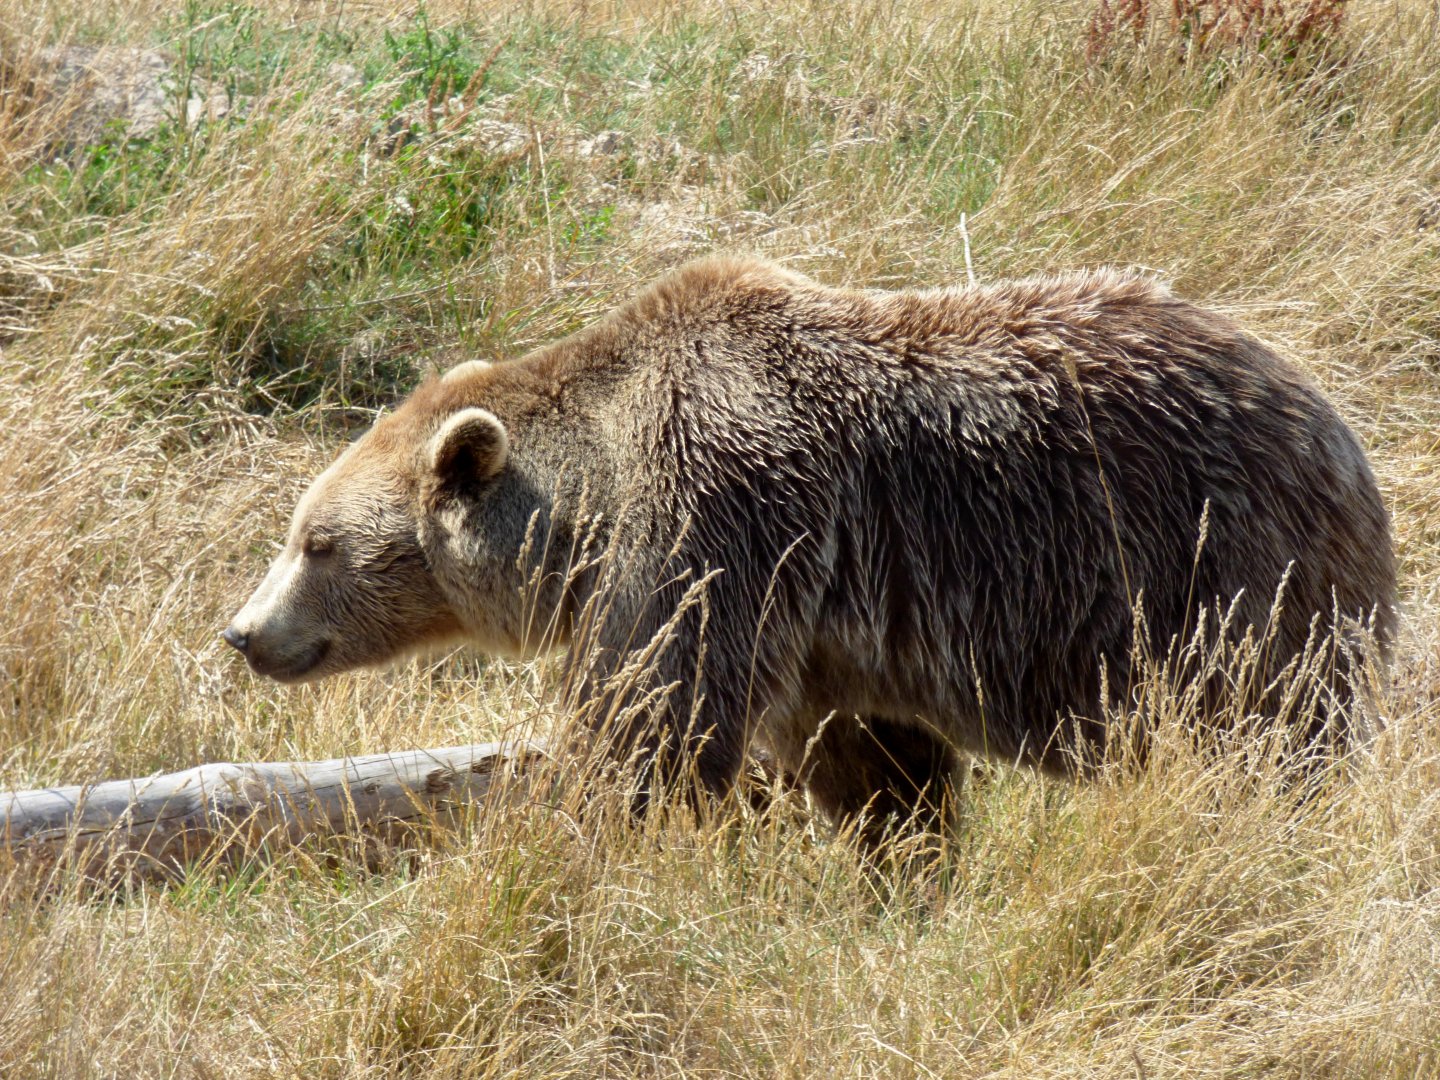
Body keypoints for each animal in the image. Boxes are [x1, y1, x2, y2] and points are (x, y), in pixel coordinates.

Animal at [224, 256, 1396, 848]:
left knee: (1273, 734)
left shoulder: (715, 524)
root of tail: (1337, 427)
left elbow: (654, 726)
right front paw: (900, 861)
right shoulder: (829, 625)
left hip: (1221, 569)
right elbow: (873, 762)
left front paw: (583, 843)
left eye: (316, 542)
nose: (243, 633)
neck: (594, 503)